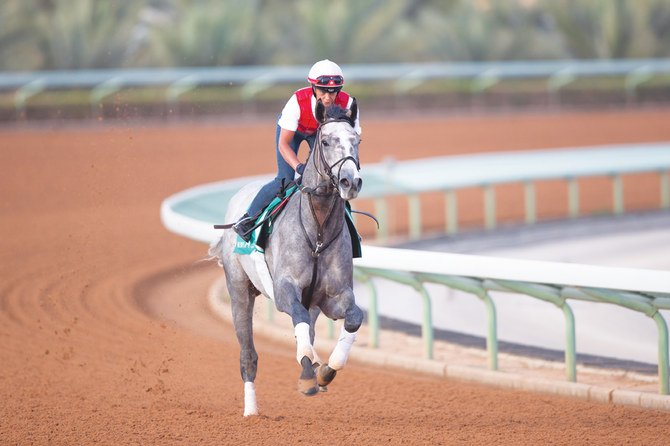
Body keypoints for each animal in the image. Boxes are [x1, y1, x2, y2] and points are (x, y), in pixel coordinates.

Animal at [211, 99, 364, 416]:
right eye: (326, 141)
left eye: (357, 141)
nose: (350, 182)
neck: (317, 233)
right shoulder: (284, 291)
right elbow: (299, 320)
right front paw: (307, 376)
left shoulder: (333, 296)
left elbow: (354, 317)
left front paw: (325, 370)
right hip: (239, 291)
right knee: (248, 355)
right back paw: (251, 410)